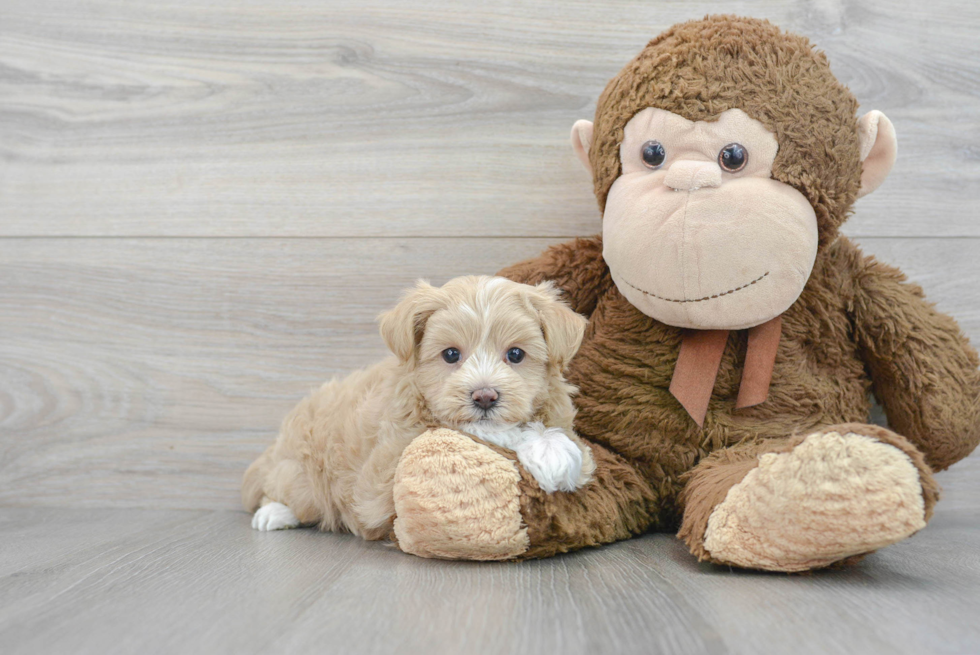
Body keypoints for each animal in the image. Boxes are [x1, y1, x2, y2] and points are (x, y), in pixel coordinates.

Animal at [243, 276, 596, 540]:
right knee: (285, 491)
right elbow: (467, 428)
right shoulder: (383, 473)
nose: (484, 396)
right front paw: (549, 450)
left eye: (516, 354)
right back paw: (273, 512)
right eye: (451, 354)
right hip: (300, 477)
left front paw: (556, 447)